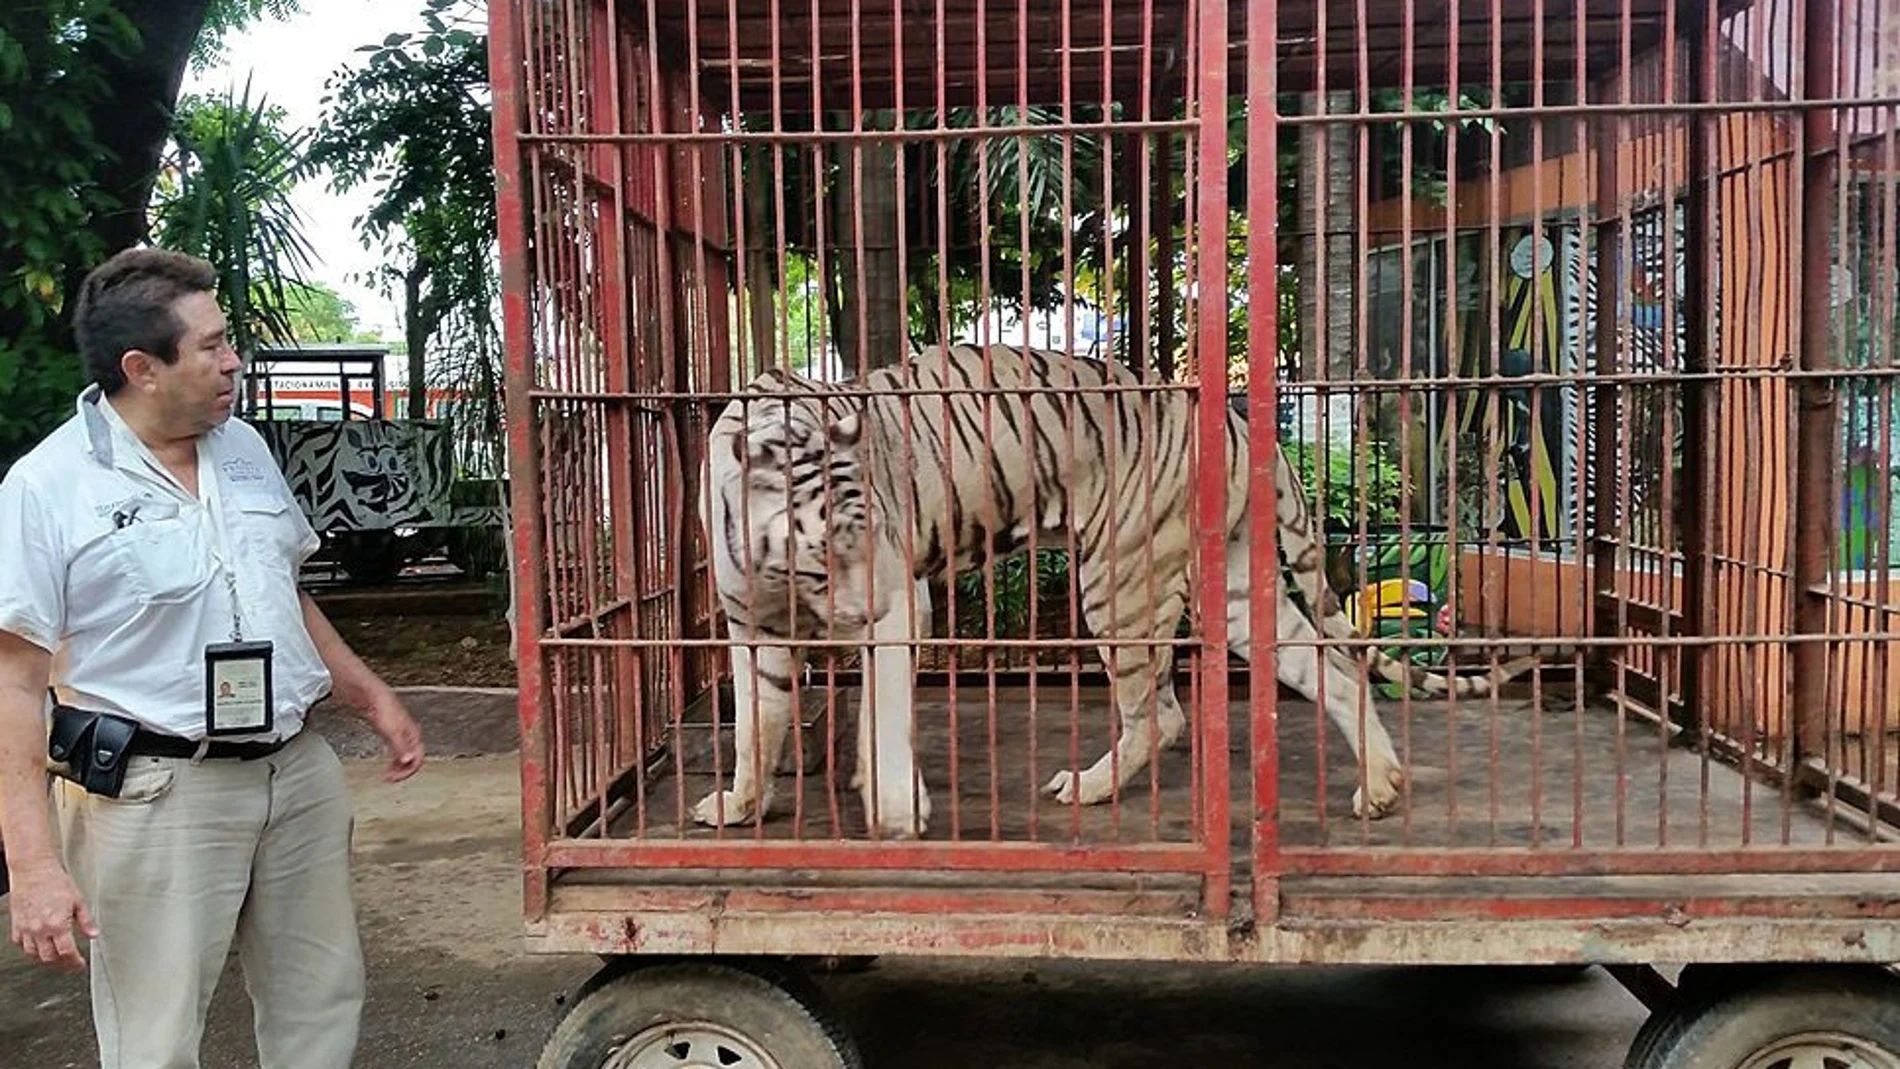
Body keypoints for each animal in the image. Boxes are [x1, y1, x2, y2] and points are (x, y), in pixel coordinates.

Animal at [691, 343, 1535, 835]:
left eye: (868, 537)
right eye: (830, 549)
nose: (860, 609)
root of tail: (1236, 422)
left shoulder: (905, 604)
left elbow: (885, 712)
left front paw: (897, 815)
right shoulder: (752, 628)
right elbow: (757, 726)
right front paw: (739, 805)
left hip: (1117, 583)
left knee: (1163, 715)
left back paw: (1089, 786)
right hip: (1235, 589)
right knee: (1331, 668)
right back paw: (1383, 787)